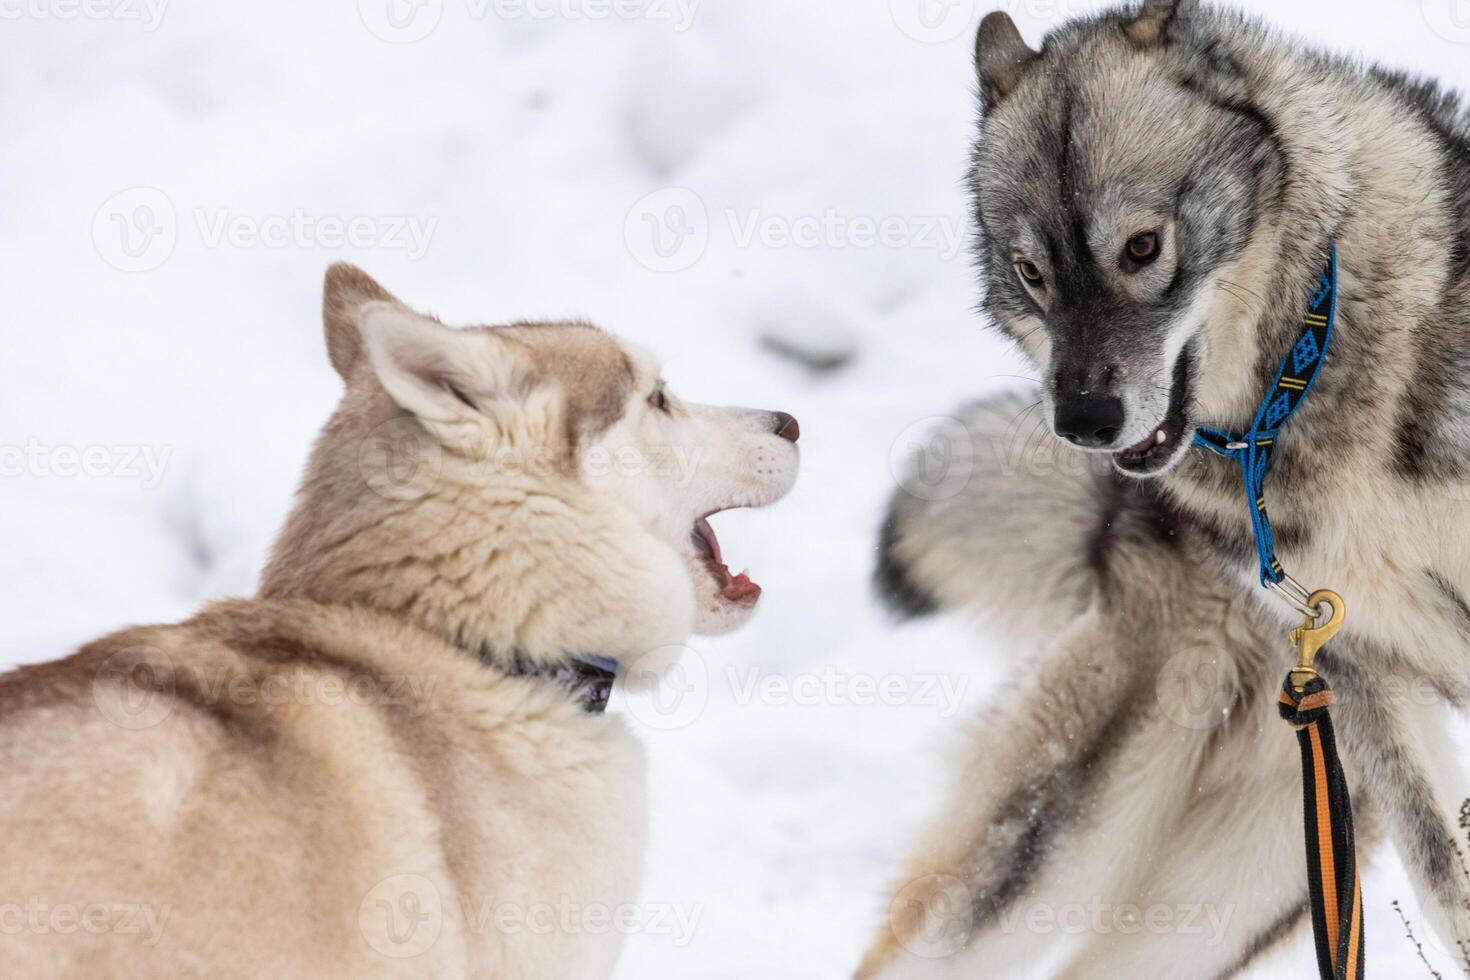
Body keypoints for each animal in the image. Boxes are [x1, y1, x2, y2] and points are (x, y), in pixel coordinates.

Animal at [858, 0, 1470, 975]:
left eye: (1142, 248)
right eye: (1033, 274)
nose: (1083, 420)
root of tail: (1116, 526)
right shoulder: (1370, 678)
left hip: (1252, 875)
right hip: (1098, 841)